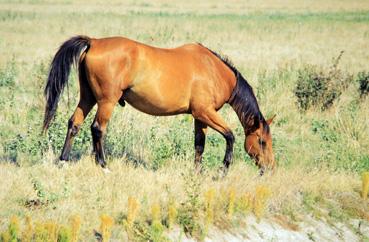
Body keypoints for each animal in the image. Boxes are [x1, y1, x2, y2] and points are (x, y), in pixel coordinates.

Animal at [42, 35, 274, 174]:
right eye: (262, 141)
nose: (270, 167)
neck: (213, 70)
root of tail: (95, 41)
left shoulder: (200, 117)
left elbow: (199, 144)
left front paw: (197, 172)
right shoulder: (205, 113)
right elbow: (230, 136)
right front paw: (223, 170)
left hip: (88, 98)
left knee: (74, 123)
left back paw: (63, 160)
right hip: (106, 101)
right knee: (98, 128)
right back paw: (103, 165)